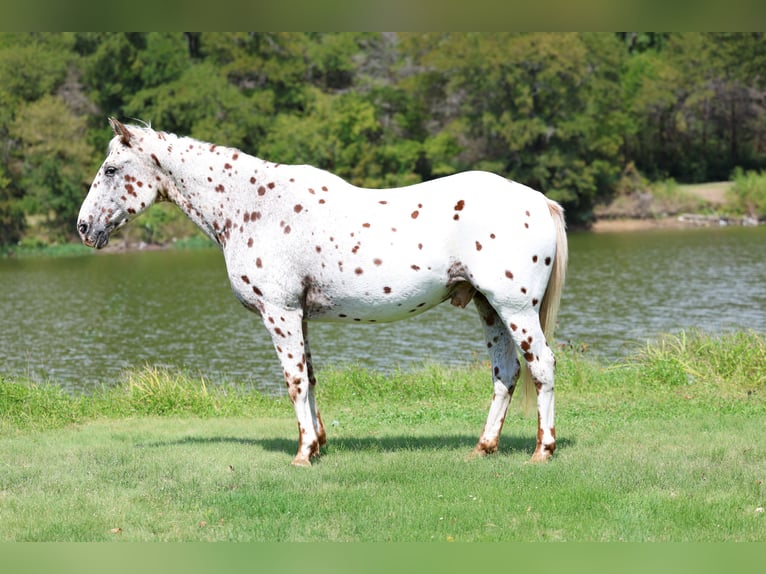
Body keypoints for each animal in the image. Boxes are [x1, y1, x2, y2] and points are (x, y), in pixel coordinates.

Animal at [77, 118, 568, 467]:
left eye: (111, 169)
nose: (83, 228)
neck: (253, 206)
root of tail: (539, 200)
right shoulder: (298, 316)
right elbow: (310, 379)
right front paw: (316, 444)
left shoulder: (279, 313)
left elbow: (293, 381)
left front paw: (302, 454)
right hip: (489, 308)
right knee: (506, 372)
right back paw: (484, 447)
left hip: (515, 308)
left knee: (541, 366)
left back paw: (542, 450)